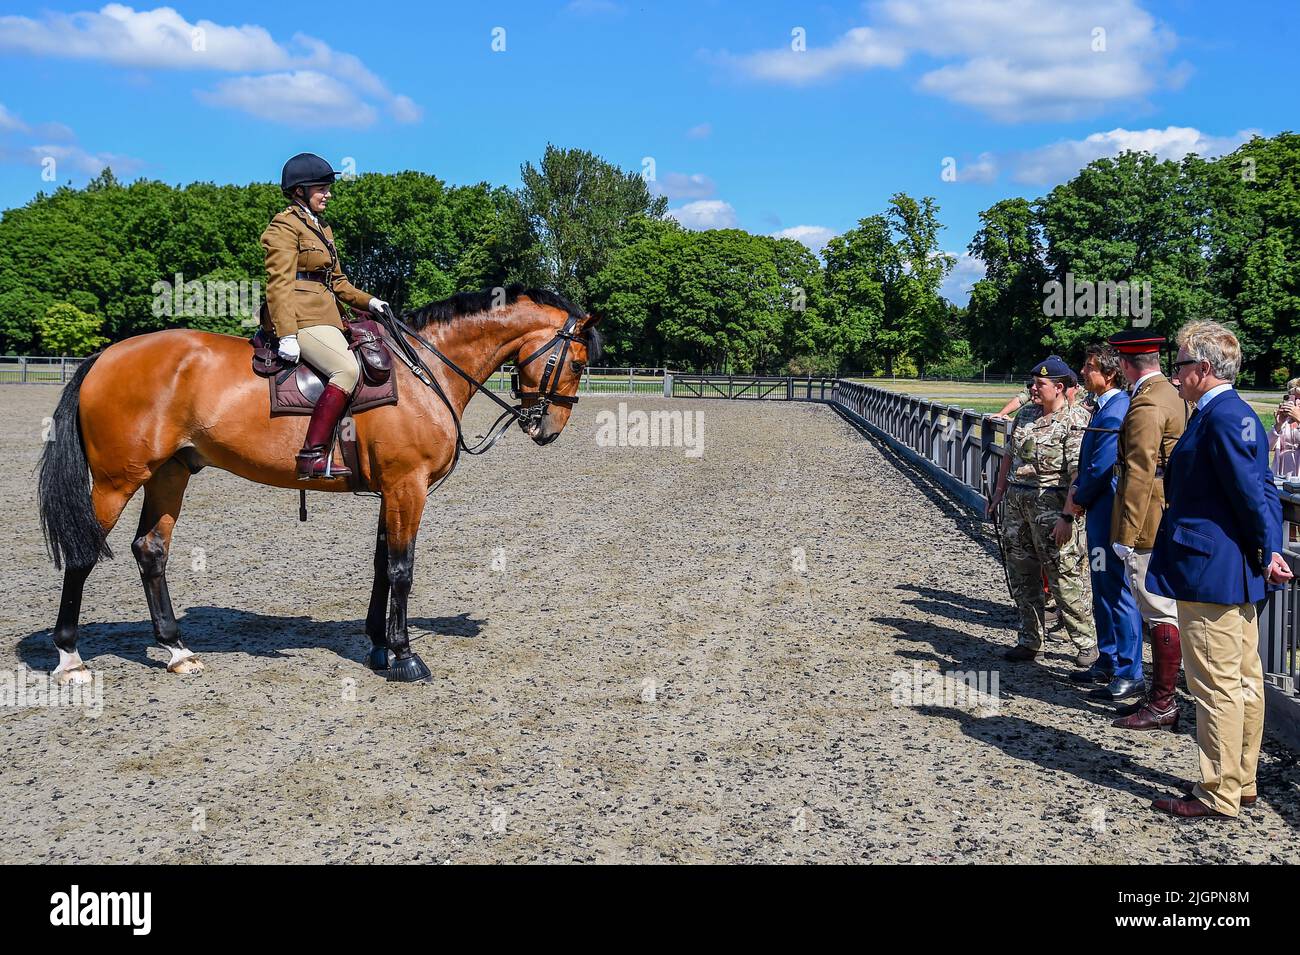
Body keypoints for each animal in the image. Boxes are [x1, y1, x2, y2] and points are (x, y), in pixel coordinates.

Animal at [34, 287, 595, 686]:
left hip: (170, 473)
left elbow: (381, 566)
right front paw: (405, 656)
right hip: (117, 480)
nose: (549, 428)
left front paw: (378, 645)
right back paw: (70, 656)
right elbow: (402, 569)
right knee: (84, 552)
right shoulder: (407, 486)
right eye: (578, 362)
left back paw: (176, 650)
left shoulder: (391, 491)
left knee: (150, 549)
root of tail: (105, 357)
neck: (424, 370)